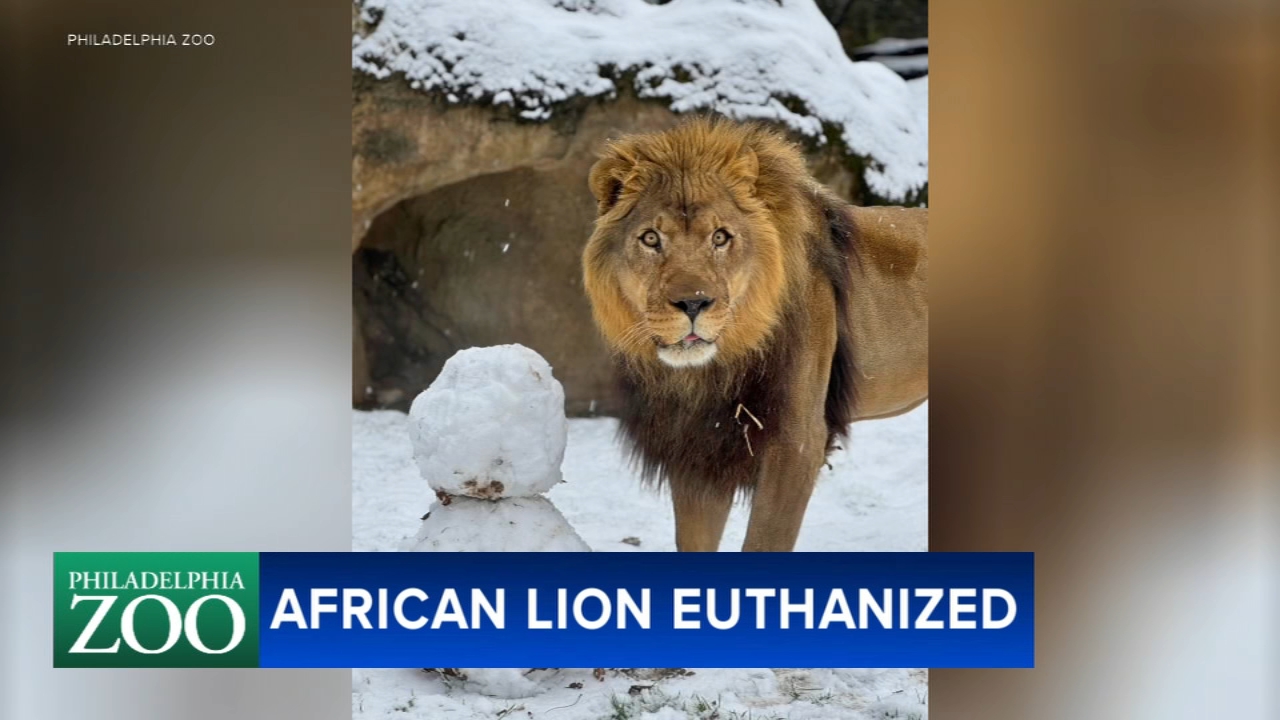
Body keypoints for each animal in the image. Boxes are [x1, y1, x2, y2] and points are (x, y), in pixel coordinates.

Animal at [582, 118, 927, 552]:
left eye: (720, 237)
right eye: (650, 239)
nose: (693, 304)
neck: (712, 371)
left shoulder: (797, 442)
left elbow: (764, 542)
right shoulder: (700, 446)